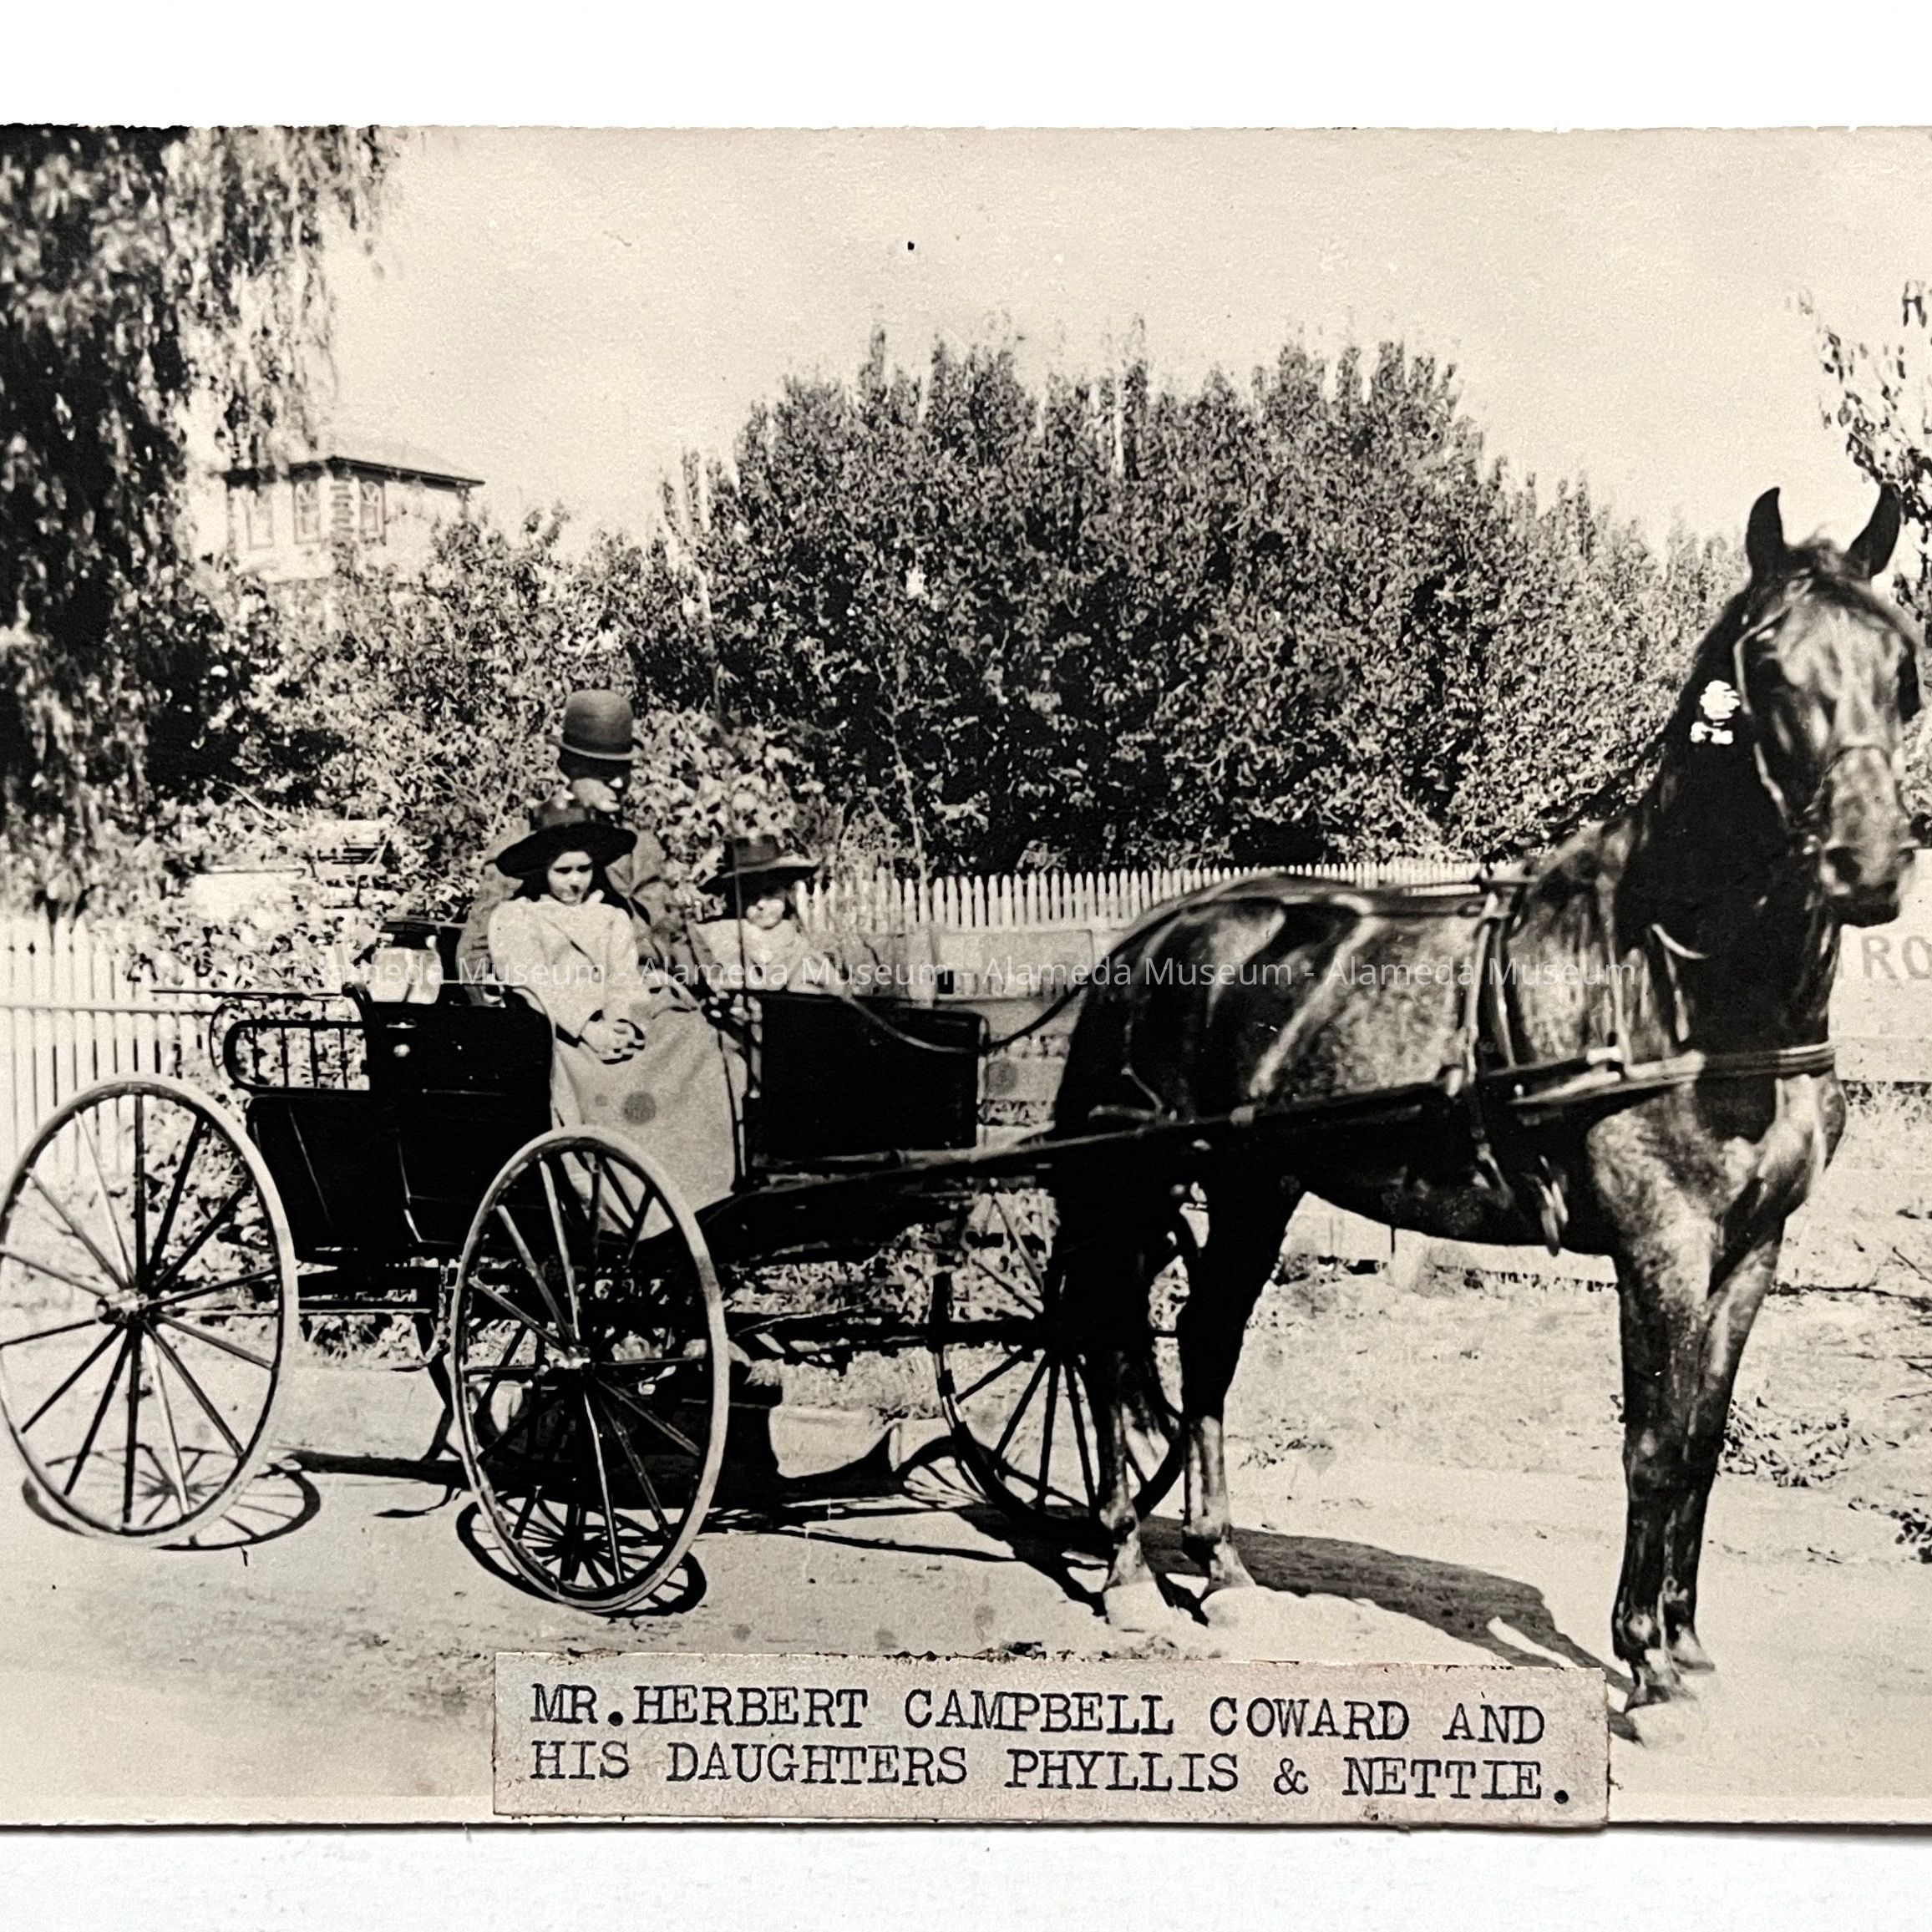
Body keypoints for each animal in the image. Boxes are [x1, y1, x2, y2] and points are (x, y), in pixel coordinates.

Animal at [1051, 486, 1921, 1710]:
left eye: (1902, 665)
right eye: (1768, 665)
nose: (1869, 863)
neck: (1679, 984)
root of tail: (1149, 939)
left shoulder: (1754, 1248)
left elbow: (1705, 1442)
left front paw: (1689, 1644)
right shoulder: (1659, 1245)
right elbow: (1653, 1444)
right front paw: (1644, 1667)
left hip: (1255, 1184)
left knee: (1203, 1342)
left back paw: (1222, 1573)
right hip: (1135, 1182)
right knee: (1107, 1345)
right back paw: (1130, 1575)